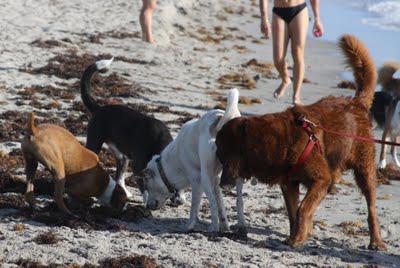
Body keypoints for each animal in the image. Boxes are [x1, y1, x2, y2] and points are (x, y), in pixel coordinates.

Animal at [139, 89, 241, 231]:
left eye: (148, 186)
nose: (147, 207)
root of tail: (219, 119)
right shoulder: (215, 180)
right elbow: (221, 204)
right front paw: (225, 226)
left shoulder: (197, 182)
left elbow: (195, 208)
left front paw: (189, 226)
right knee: (238, 202)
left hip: (205, 177)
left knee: (212, 204)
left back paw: (213, 228)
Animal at [216, 34, 388, 250]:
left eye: (223, 157)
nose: (221, 185)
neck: (278, 140)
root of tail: (356, 103)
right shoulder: (289, 183)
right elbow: (293, 212)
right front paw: (296, 235)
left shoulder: (320, 179)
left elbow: (302, 209)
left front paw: (297, 238)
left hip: (364, 167)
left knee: (371, 206)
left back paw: (376, 241)